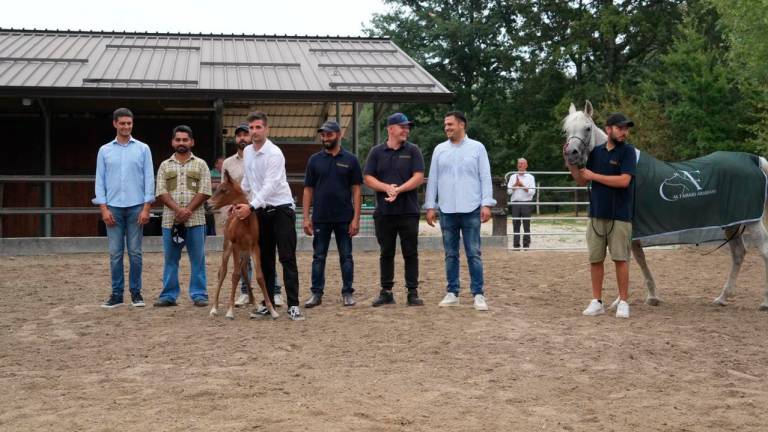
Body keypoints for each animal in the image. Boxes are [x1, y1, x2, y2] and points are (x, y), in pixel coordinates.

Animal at [208, 170, 278, 318]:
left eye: (223, 190)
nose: (207, 204)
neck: (245, 222)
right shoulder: (235, 246)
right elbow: (234, 275)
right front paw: (229, 311)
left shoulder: (255, 247)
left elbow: (260, 276)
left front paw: (271, 310)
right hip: (228, 247)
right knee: (223, 272)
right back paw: (214, 308)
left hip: (245, 252)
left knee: (244, 270)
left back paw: (255, 303)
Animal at [560, 101, 768, 310]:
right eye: (566, 130)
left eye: (587, 128)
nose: (571, 153)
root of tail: (753, 160)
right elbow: (638, 259)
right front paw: (648, 297)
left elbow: (629, 260)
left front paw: (627, 300)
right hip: (732, 223)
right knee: (738, 253)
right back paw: (722, 297)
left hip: (751, 222)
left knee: (763, 251)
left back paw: (764, 302)